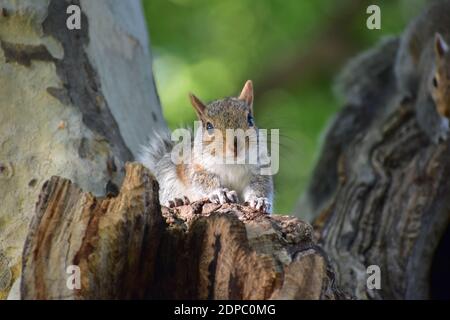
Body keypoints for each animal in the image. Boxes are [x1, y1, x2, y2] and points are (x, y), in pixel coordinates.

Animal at [139, 81, 274, 214]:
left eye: (250, 119)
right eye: (208, 126)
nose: (235, 145)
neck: (231, 163)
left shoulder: (259, 169)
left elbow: (260, 185)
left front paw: (258, 199)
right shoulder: (197, 167)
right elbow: (204, 181)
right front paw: (220, 192)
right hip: (167, 175)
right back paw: (177, 201)